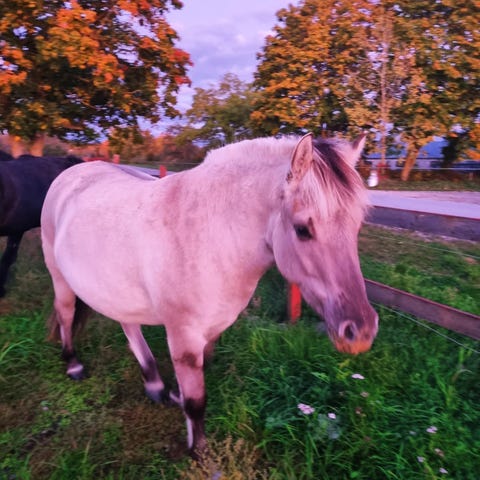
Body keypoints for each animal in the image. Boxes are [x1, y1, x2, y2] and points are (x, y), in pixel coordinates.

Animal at [40, 133, 378, 456]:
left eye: (356, 226)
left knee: (128, 323)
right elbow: (196, 402)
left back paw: (154, 383)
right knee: (66, 313)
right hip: (59, 278)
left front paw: (175, 399)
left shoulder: (212, 329)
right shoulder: (183, 336)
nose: (360, 331)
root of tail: (72, 172)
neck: (211, 234)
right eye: (303, 230)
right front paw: (198, 452)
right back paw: (73, 364)